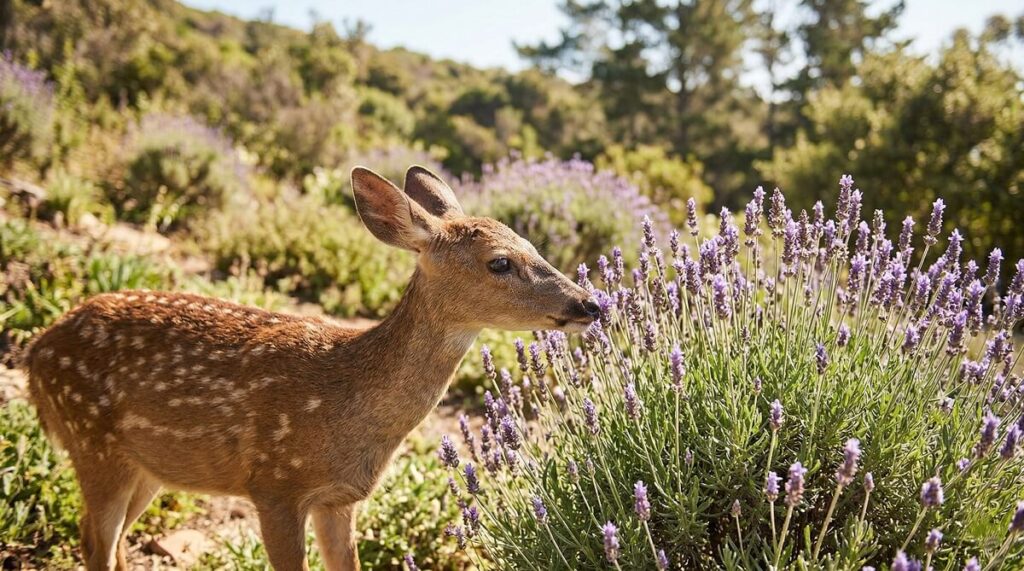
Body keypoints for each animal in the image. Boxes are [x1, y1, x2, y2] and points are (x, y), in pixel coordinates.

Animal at [23, 165, 599, 571]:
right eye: (500, 261)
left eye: (534, 245)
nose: (590, 303)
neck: (346, 403)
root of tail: (35, 351)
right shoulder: (274, 484)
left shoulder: (339, 499)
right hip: (93, 444)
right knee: (95, 544)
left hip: (148, 465)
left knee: (114, 543)